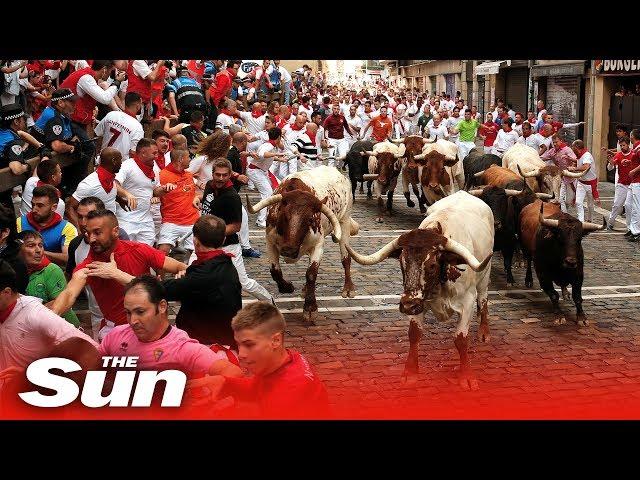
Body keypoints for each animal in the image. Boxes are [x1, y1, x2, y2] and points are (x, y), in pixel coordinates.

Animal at [246, 165, 360, 322]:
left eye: (309, 219)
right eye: (284, 215)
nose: (288, 250)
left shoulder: (318, 244)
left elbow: (311, 273)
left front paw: (310, 308)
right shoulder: (270, 242)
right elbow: (275, 271)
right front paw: (287, 287)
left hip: (345, 222)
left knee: (346, 258)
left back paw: (348, 288)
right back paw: (306, 289)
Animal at [348, 191, 492, 390]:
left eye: (431, 265)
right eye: (402, 262)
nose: (407, 305)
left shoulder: (467, 302)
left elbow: (461, 339)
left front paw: (466, 376)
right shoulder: (419, 303)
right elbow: (414, 334)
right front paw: (410, 372)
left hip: (484, 277)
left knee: (484, 299)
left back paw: (484, 332)